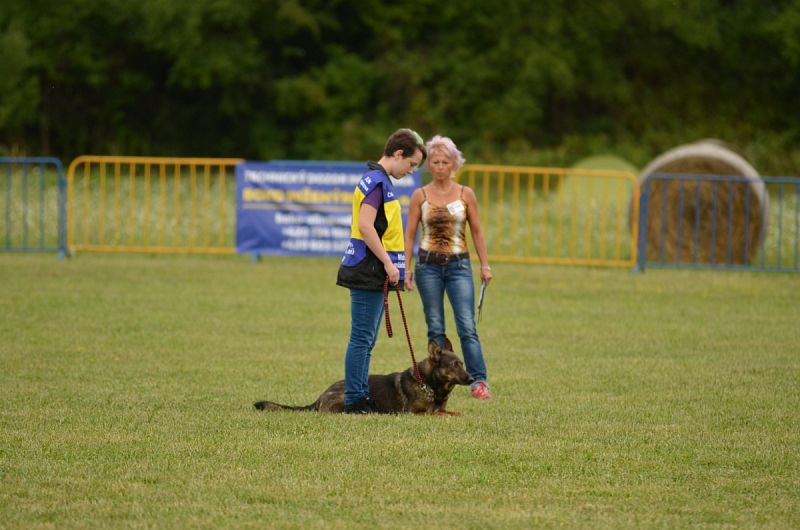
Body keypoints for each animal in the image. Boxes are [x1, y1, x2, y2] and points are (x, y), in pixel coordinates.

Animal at [253, 338, 472, 412]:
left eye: (462, 364)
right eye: (454, 365)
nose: (471, 379)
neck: (428, 383)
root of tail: (320, 397)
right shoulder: (414, 413)